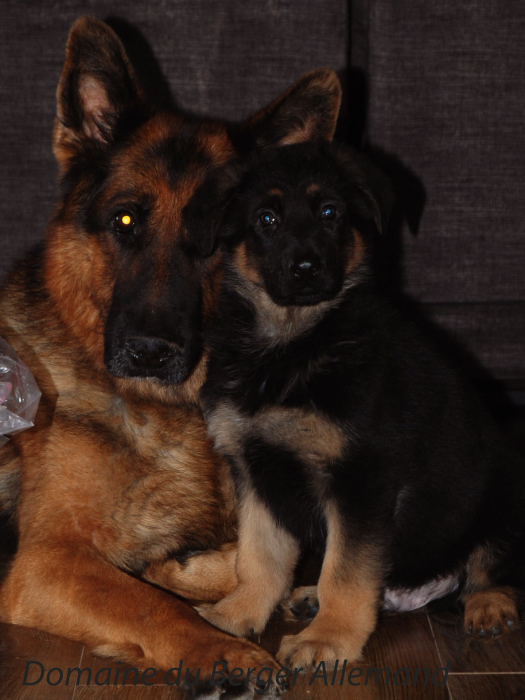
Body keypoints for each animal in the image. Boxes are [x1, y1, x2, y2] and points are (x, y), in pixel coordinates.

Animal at [0, 16, 342, 689]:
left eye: (211, 240)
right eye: (125, 221)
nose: (149, 354)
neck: (176, 411)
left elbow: (265, 555)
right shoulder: (45, 562)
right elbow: (147, 602)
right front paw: (220, 649)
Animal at [184, 139, 525, 669]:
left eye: (330, 213)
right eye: (266, 219)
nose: (307, 269)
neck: (293, 344)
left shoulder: (360, 481)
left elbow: (345, 572)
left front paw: (328, 639)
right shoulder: (255, 471)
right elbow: (257, 556)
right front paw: (236, 615)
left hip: (506, 492)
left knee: (492, 567)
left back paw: (489, 604)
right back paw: (309, 597)